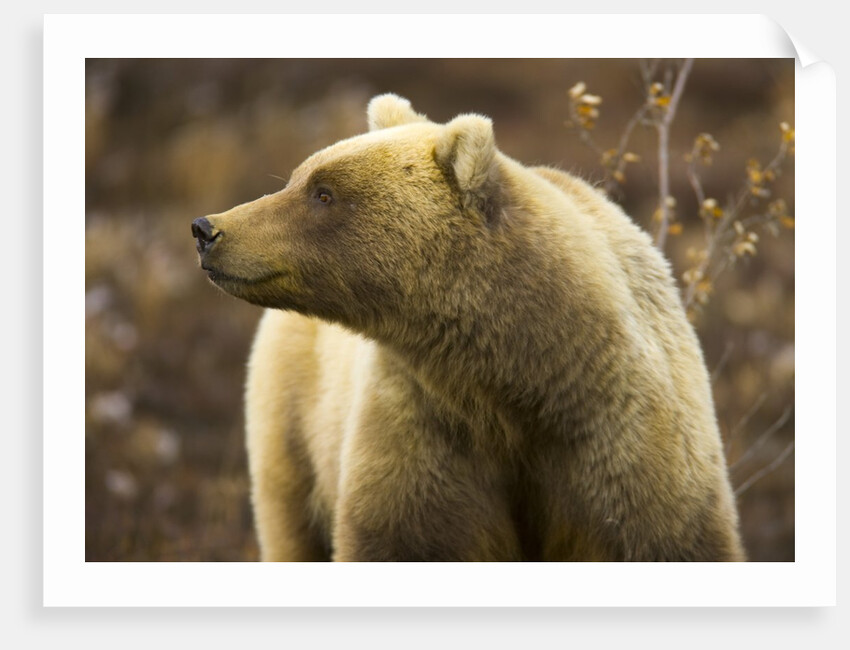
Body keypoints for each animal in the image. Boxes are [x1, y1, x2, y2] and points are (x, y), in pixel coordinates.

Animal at [191, 93, 745, 561]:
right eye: (298, 177)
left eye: (323, 192)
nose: (207, 228)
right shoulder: (426, 432)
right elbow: (406, 539)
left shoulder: (625, 450)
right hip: (292, 422)